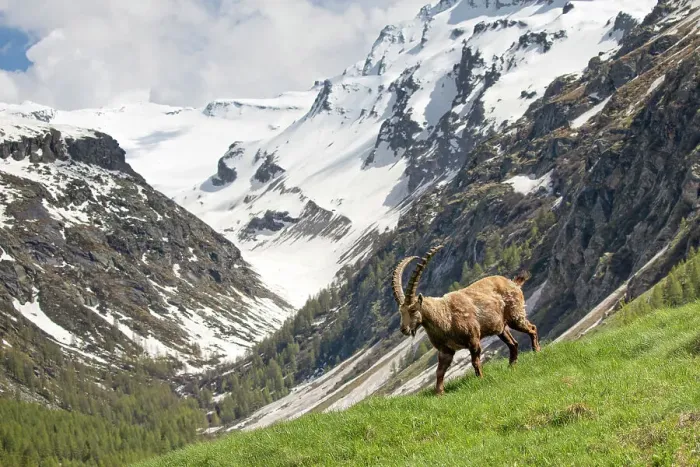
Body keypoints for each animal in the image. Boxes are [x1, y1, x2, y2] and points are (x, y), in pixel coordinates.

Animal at [392, 245, 540, 395]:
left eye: (412, 310)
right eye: (401, 311)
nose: (404, 329)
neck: (444, 316)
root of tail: (513, 283)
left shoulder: (473, 340)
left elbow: (475, 362)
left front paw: (480, 379)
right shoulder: (445, 350)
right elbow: (439, 371)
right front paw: (439, 393)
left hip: (515, 316)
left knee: (532, 329)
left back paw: (536, 352)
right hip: (501, 328)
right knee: (513, 343)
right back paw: (511, 366)